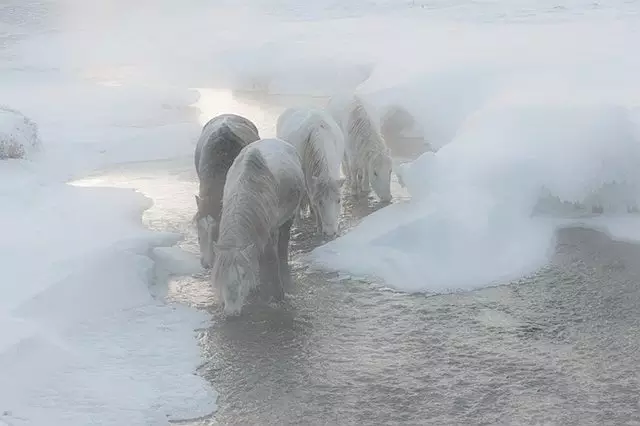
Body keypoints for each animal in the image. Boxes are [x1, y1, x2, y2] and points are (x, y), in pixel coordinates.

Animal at [211, 138, 306, 314]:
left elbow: (271, 260)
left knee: (283, 245)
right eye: (220, 275)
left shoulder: (268, 234)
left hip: (287, 219)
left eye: (242, 275)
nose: (231, 312)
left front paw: (277, 295)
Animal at [276, 105, 344, 236]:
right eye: (321, 202)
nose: (330, 233)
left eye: (338, 200)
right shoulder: (308, 178)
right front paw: (319, 227)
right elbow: (313, 199)